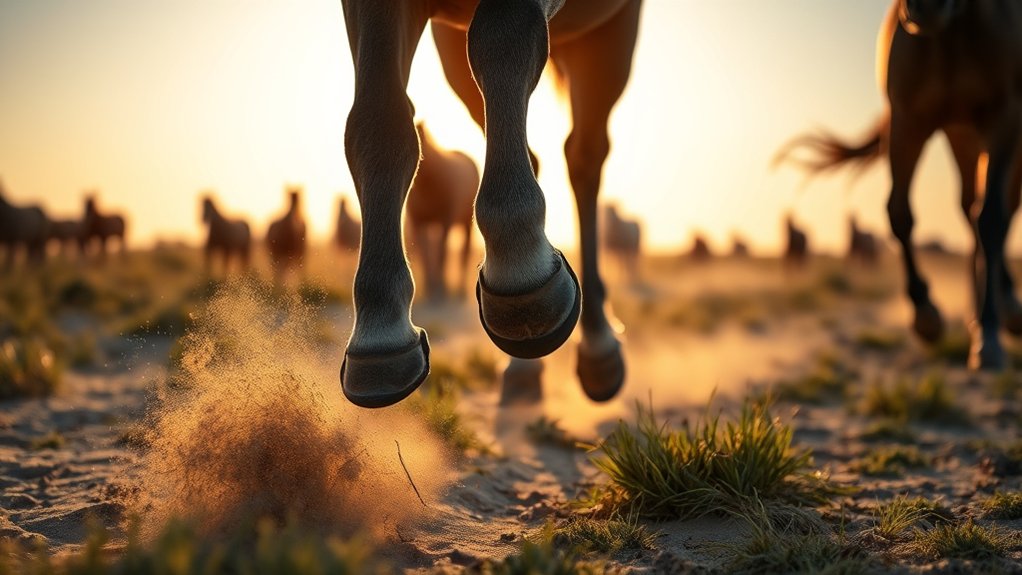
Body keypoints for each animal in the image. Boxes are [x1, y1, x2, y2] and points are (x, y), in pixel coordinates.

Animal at [405, 122, 478, 302]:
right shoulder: (419, 222)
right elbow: (425, 255)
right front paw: (431, 289)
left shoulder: (446, 220)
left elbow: (441, 253)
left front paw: (441, 291)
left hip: (466, 223)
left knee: (464, 254)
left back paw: (460, 291)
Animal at [777, 0, 1022, 370]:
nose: (927, 7)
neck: (951, 31)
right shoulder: (908, 121)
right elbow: (899, 212)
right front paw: (925, 315)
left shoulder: (1004, 118)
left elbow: (993, 219)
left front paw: (989, 336)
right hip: (962, 138)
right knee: (970, 210)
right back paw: (976, 314)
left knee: (999, 213)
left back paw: (1003, 310)